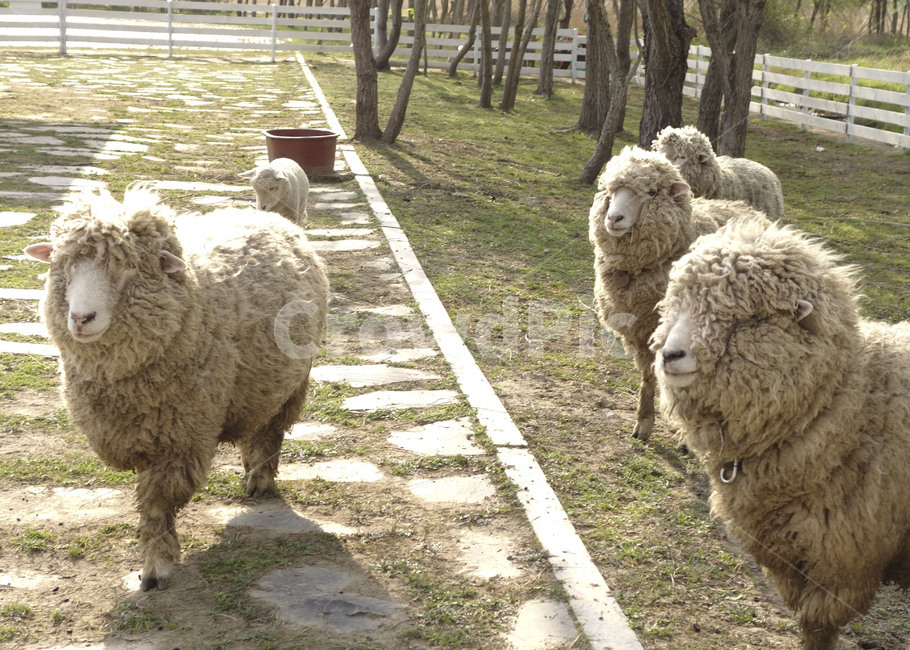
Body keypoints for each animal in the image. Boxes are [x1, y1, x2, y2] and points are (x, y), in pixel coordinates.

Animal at [23, 187, 329, 592]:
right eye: (66, 265)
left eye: (130, 267)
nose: (81, 318)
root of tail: (272, 217)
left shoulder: (179, 437)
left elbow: (157, 502)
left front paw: (155, 566)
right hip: (256, 383)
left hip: (291, 383)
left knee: (271, 431)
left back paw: (260, 478)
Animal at [589, 146, 769, 442]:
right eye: (611, 192)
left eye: (651, 192)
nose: (613, 218)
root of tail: (750, 211)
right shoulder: (642, 331)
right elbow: (648, 376)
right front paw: (643, 422)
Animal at [652, 218, 910, 650]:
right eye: (677, 300)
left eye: (750, 319)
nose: (669, 354)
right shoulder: (791, 557)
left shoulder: (842, 562)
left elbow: (818, 628)